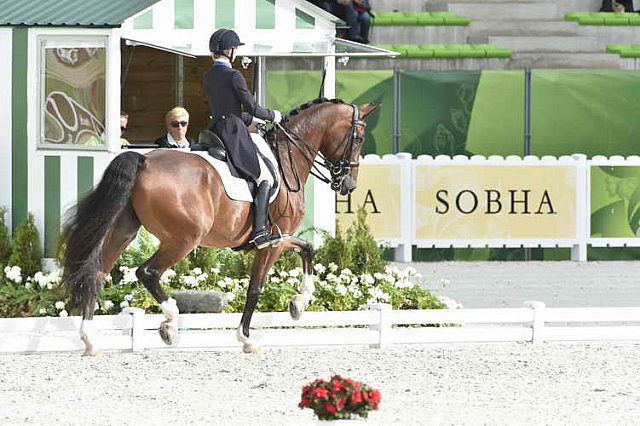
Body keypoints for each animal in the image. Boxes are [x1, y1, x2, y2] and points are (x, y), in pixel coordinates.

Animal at [61, 98, 376, 354]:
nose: (348, 185)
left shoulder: (278, 237)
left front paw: (299, 304)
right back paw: (170, 322)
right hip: (184, 239)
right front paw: (247, 337)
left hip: (125, 230)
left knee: (98, 273)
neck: (287, 157)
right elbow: (256, 287)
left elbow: (307, 248)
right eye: (359, 138)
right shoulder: (270, 242)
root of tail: (144, 160)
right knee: (147, 272)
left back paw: (89, 339)